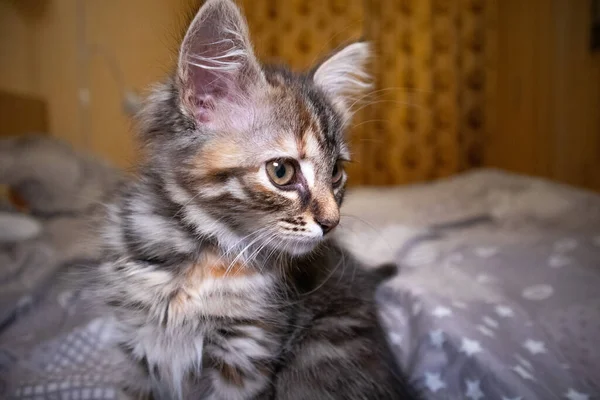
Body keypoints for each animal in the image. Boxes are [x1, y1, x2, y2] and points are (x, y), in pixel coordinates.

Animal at [96, 0, 420, 400]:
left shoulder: (248, 352)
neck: (199, 256)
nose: (332, 224)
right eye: (281, 172)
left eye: (336, 174)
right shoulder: (138, 344)